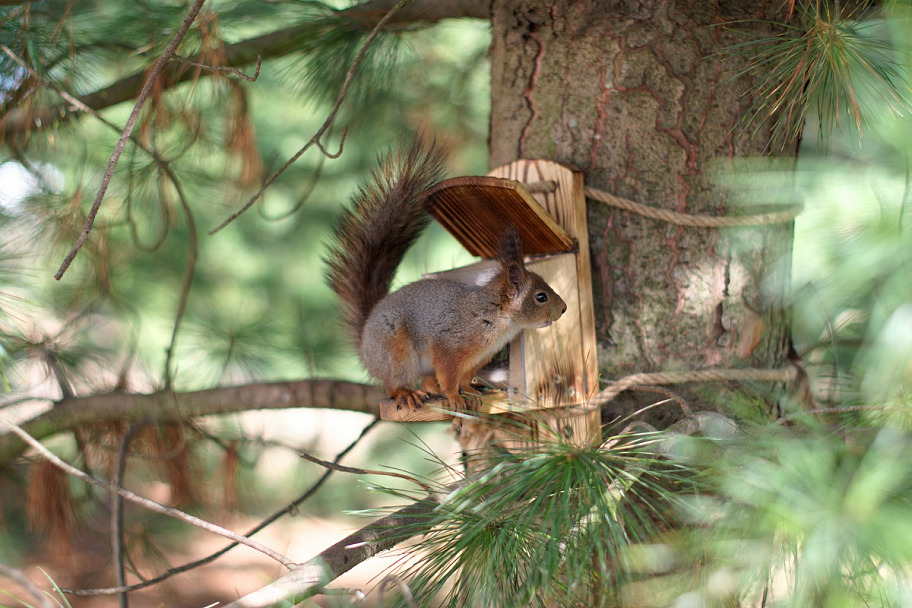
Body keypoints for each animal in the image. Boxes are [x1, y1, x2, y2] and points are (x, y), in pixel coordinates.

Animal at [328, 139, 568, 414]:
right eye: (541, 297)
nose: (564, 308)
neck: (498, 317)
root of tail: (365, 344)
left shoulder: (477, 358)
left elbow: (464, 377)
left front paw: (471, 391)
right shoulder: (449, 346)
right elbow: (449, 375)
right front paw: (454, 397)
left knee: (428, 382)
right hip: (395, 351)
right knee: (393, 385)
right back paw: (407, 394)